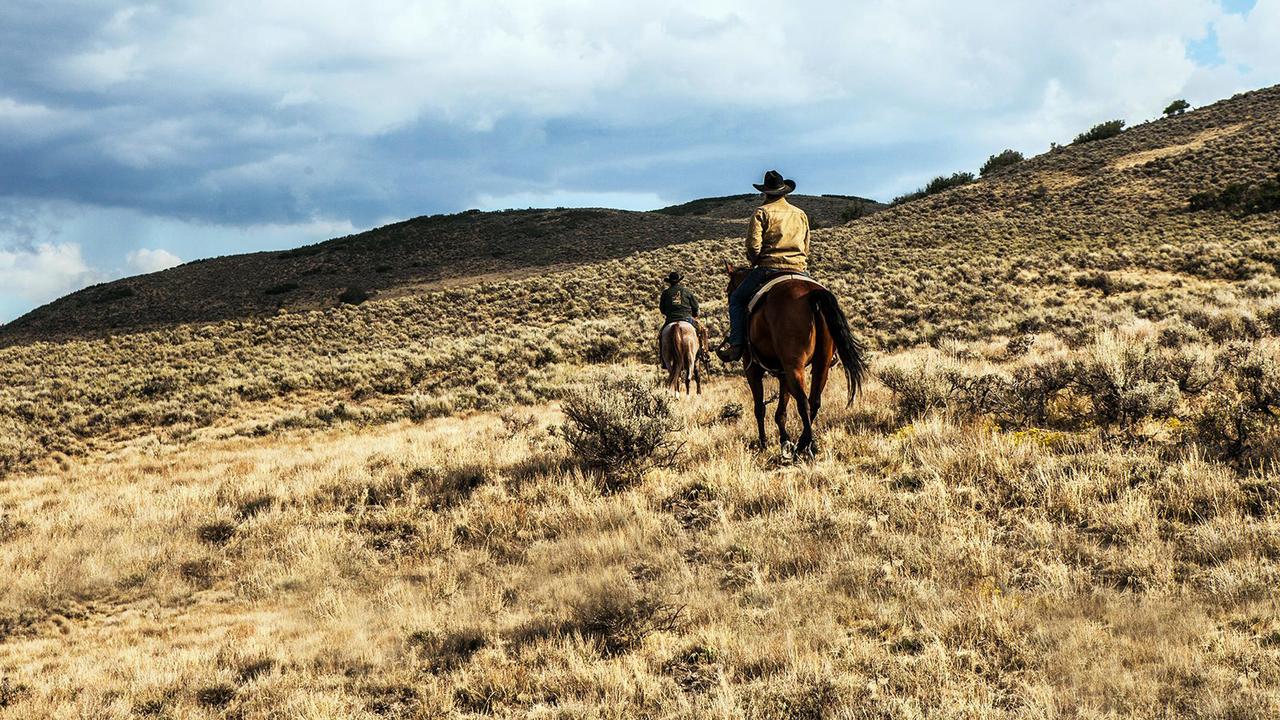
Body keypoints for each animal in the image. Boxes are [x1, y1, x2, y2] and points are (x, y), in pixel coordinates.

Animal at [727, 263, 865, 453]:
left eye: (728, 291)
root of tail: (811, 293)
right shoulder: (783, 373)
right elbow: (781, 412)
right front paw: (784, 440)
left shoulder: (753, 369)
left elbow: (759, 408)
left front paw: (764, 444)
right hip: (821, 363)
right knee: (814, 400)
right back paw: (802, 443)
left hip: (794, 366)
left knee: (803, 402)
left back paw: (807, 446)